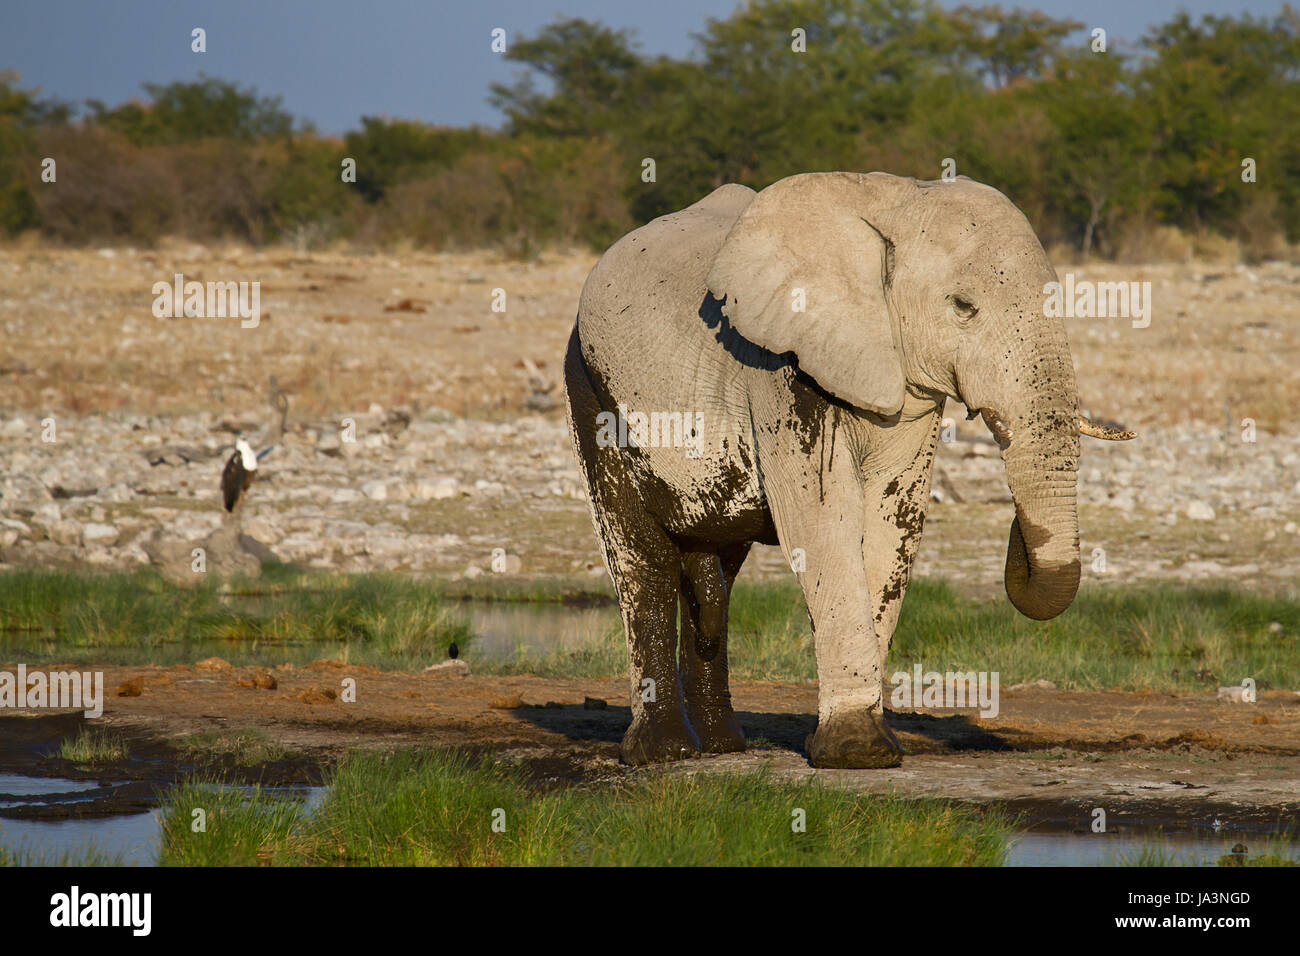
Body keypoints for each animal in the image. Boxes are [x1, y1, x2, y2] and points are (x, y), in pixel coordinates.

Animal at [564, 171, 1133, 770]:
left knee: (718, 565)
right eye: (963, 306)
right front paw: (857, 752)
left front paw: (861, 743)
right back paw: (663, 753)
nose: (1017, 533)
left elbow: (890, 524)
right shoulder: (781, 371)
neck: (898, 200)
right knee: (641, 557)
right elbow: (823, 525)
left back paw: (722, 746)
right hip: (591, 388)